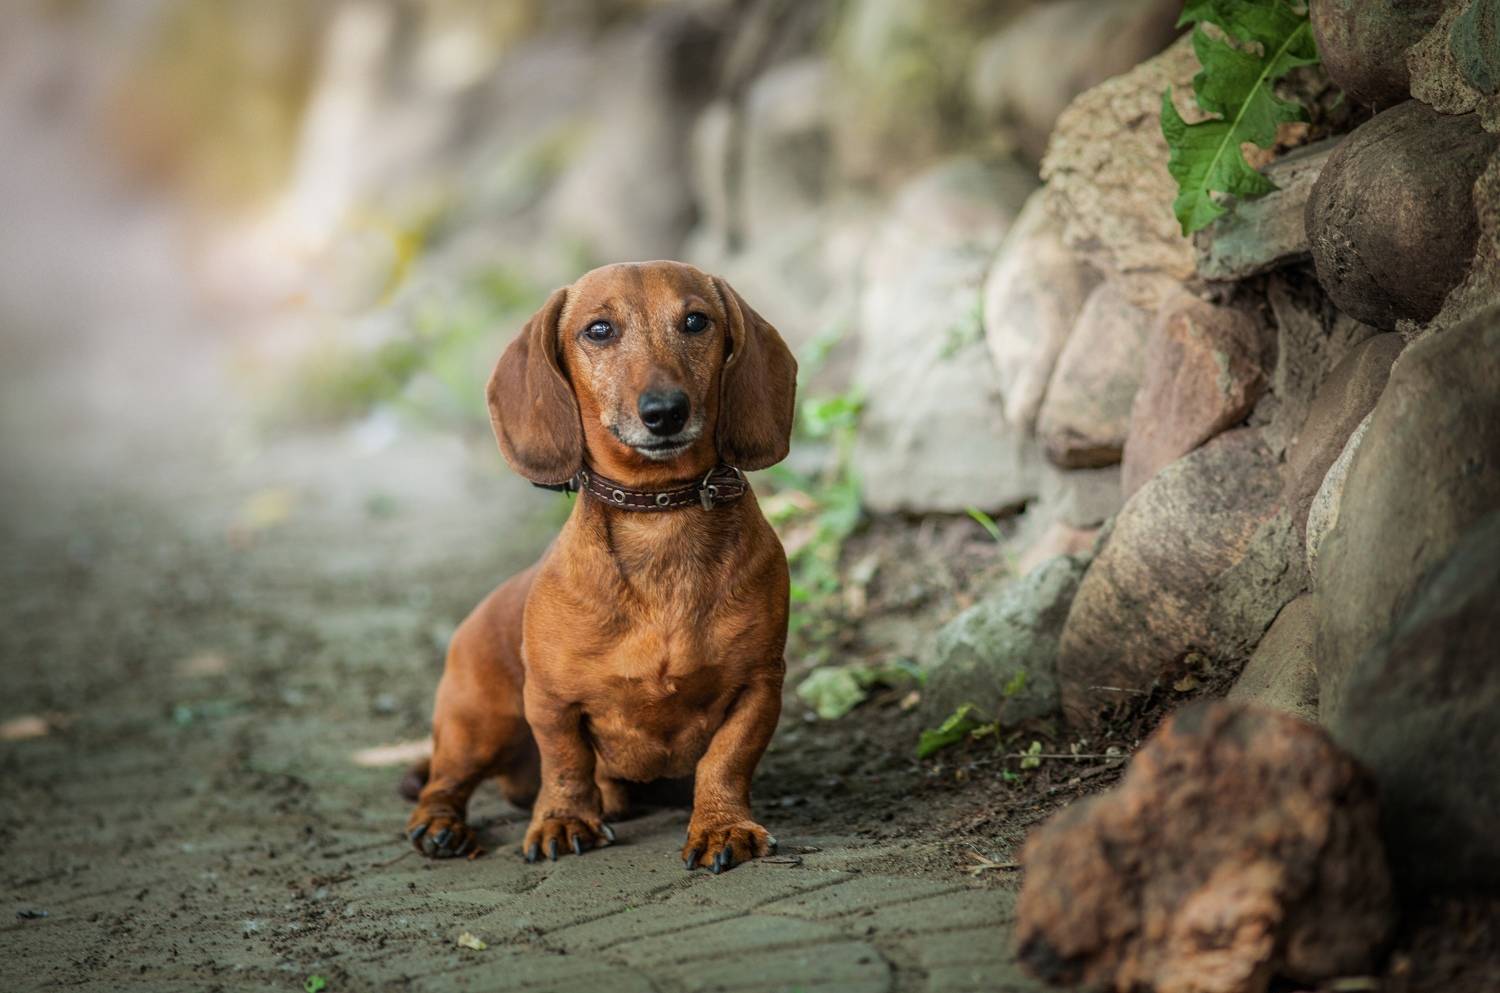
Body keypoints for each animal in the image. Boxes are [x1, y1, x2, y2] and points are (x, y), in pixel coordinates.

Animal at [401, 260, 797, 872]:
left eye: (696, 321)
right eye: (599, 330)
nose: (665, 411)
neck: (659, 516)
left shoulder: (759, 684)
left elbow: (726, 760)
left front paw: (721, 825)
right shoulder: (550, 701)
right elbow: (566, 763)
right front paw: (564, 820)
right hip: (476, 725)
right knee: (443, 782)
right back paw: (443, 827)